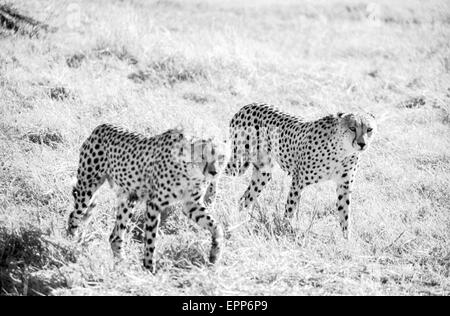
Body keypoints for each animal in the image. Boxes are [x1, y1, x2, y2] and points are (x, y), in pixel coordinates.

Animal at [67, 124, 225, 272]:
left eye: (221, 157)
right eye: (203, 155)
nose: (214, 172)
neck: (191, 170)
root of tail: (101, 126)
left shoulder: (191, 204)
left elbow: (216, 226)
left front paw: (215, 255)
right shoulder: (154, 204)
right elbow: (150, 240)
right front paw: (149, 269)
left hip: (128, 197)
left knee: (115, 236)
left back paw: (122, 263)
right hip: (87, 188)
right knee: (74, 217)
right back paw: (70, 247)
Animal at [207, 103, 376, 239]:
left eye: (369, 129)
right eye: (352, 128)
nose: (362, 144)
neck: (343, 150)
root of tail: (247, 105)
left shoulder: (344, 185)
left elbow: (344, 213)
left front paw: (347, 240)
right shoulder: (298, 181)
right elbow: (290, 209)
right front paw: (285, 230)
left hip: (263, 173)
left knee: (245, 198)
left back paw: (239, 219)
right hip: (239, 162)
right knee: (217, 166)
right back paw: (210, 198)